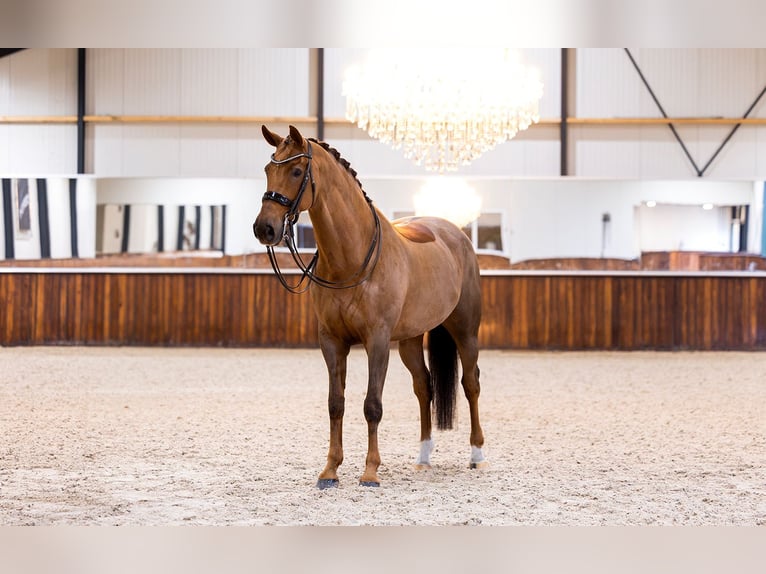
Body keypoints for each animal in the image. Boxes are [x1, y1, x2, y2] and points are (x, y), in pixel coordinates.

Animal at [253, 125, 487, 488]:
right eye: (267, 169)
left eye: (296, 171)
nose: (265, 228)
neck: (352, 258)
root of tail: (456, 233)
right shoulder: (332, 342)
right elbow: (336, 404)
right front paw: (330, 471)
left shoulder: (376, 340)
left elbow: (372, 405)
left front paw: (370, 472)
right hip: (409, 341)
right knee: (424, 387)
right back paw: (423, 457)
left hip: (465, 331)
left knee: (471, 384)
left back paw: (477, 454)